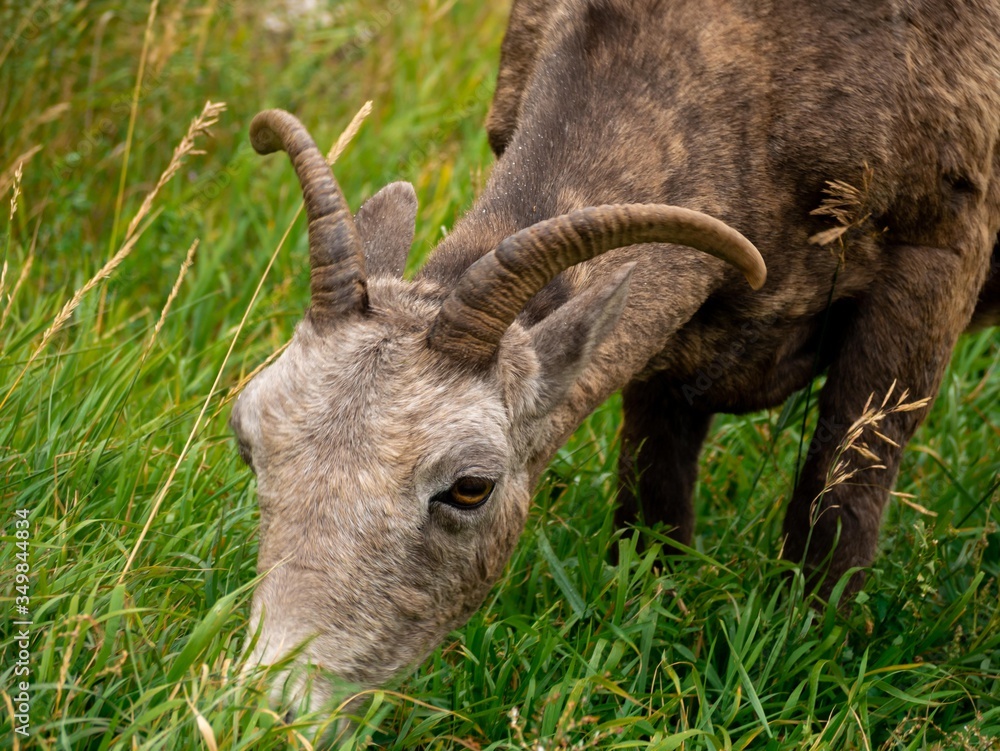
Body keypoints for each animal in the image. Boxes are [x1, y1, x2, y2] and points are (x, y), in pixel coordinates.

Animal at [231, 0, 1000, 712]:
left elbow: (837, 515)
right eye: (247, 439)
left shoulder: (932, 268)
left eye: (470, 486)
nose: (272, 705)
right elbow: (653, 512)